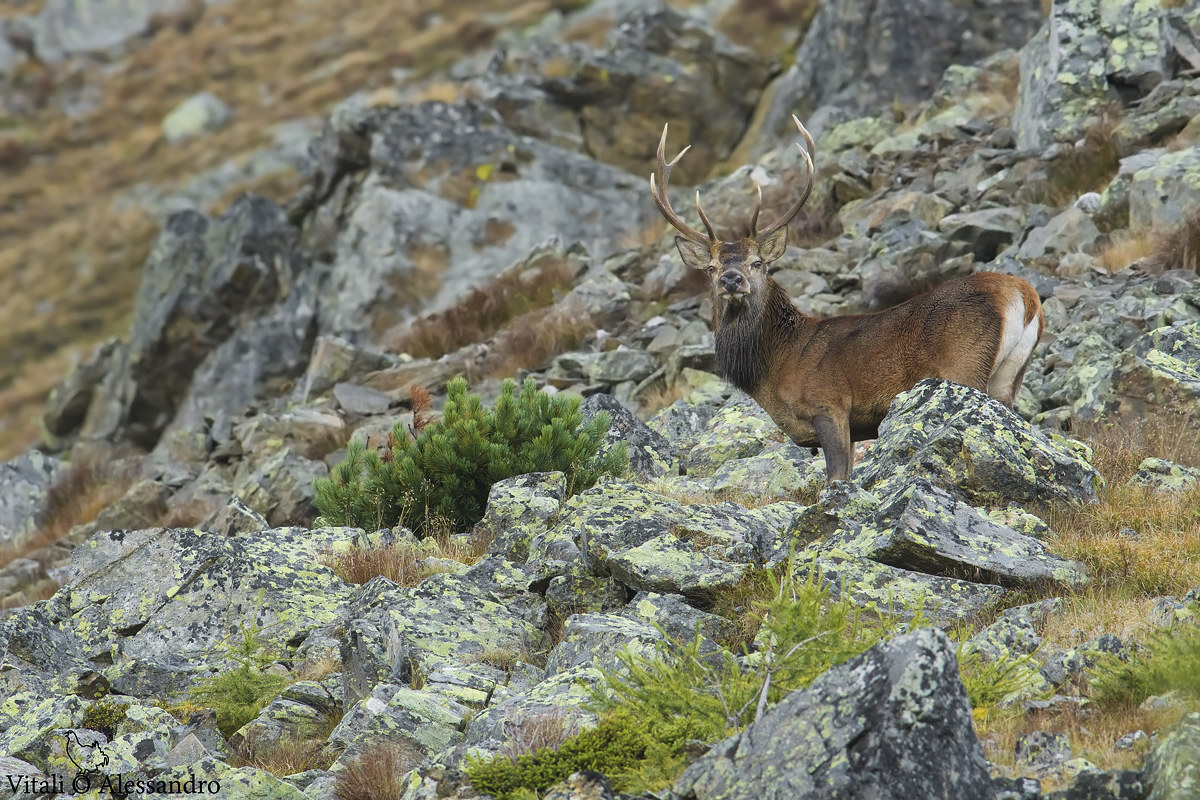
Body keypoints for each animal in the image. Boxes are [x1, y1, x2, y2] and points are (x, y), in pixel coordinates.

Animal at [650, 115, 1044, 482]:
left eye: (757, 263)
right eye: (712, 267)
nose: (731, 279)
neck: (777, 366)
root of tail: (1025, 296)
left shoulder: (830, 404)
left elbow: (836, 476)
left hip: (965, 366)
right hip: (1009, 376)